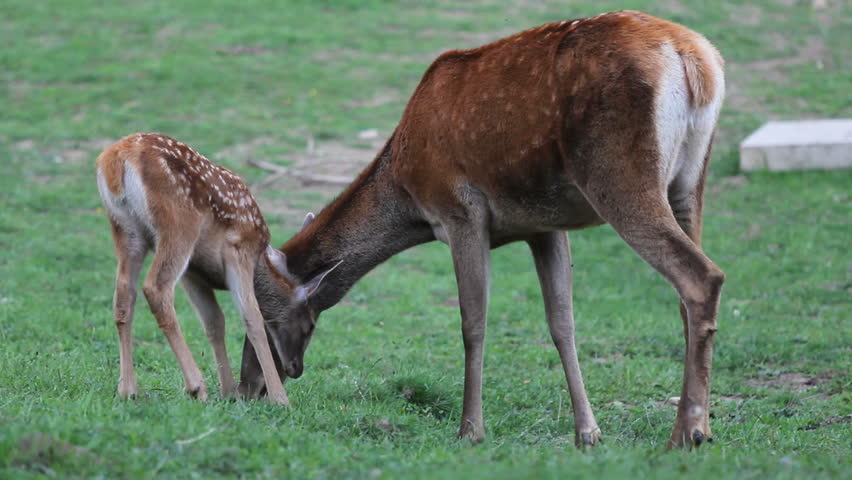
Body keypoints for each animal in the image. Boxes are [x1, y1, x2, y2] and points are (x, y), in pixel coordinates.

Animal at [98, 134, 338, 404]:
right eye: (310, 325)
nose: (296, 368)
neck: (260, 259)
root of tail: (117, 158)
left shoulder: (193, 273)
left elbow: (214, 321)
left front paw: (228, 391)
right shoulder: (239, 250)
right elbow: (253, 319)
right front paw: (280, 399)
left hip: (126, 230)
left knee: (123, 295)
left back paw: (127, 389)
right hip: (178, 225)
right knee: (156, 288)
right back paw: (195, 386)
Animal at [241, 9, 724, 448]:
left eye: (263, 316)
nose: (248, 389)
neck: (407, 190)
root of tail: (696, 60)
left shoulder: (460, 212)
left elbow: (473, 322)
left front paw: (470, 429)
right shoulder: (544, 225)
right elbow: (562, 323)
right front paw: (587, 432)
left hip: (618, 172)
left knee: (703, 276)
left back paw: (686, 433)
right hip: (689, 181)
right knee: (687, 296)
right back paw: (702, 424)